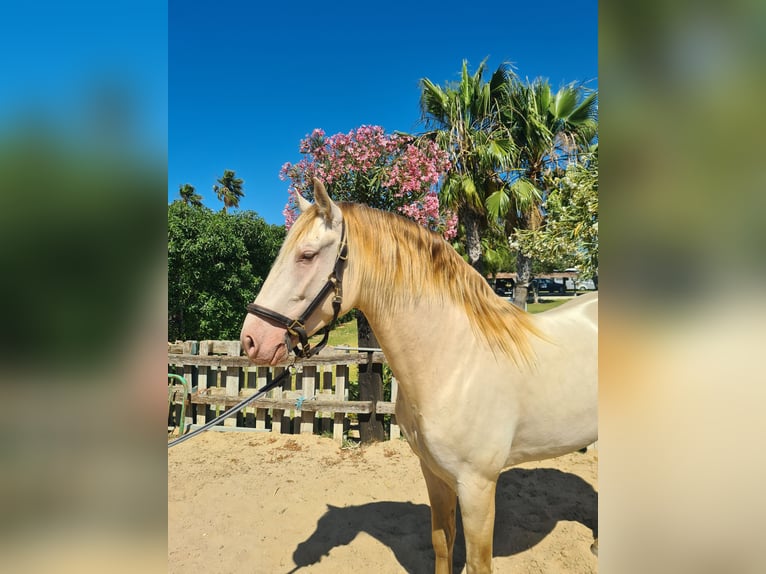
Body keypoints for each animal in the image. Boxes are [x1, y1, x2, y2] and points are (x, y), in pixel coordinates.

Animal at [240, 180, 600, 574]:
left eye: (306, 255)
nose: (253, 339)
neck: (455, 364)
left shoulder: (477, 487)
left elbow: (477, 563)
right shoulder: (434, 473)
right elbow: (442, 543)